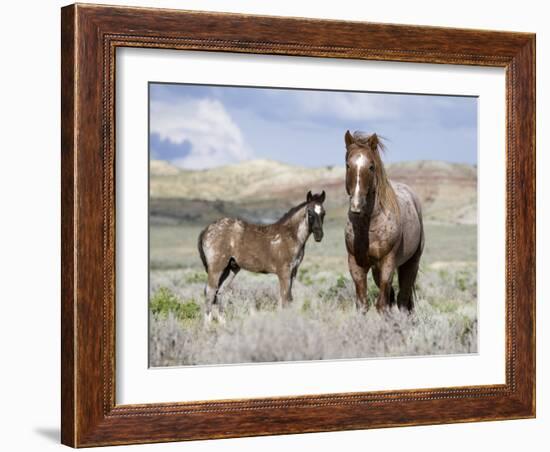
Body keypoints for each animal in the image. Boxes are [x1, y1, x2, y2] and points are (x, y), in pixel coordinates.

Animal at [199, 191, 326, 322]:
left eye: (323, 213)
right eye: (309, 213)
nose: (319, 235)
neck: (290, 236)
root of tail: (206, 230)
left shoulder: (293, 272)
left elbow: (289, 298)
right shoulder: (284, 272)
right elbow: (285, 297)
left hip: (231, 269)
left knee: (219, 291)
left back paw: (223, 323)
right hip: (216, 268)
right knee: (210, 291)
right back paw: (208, 325)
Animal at [344, 131, 426, 310]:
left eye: (371, 166)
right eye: (348, 165)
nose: (356, 206)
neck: (369, 227)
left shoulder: (388, 263)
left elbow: (382, 304)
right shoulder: (356, 265)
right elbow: (363, 304)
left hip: (411, 263)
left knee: (403, 299)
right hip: (377, 269)